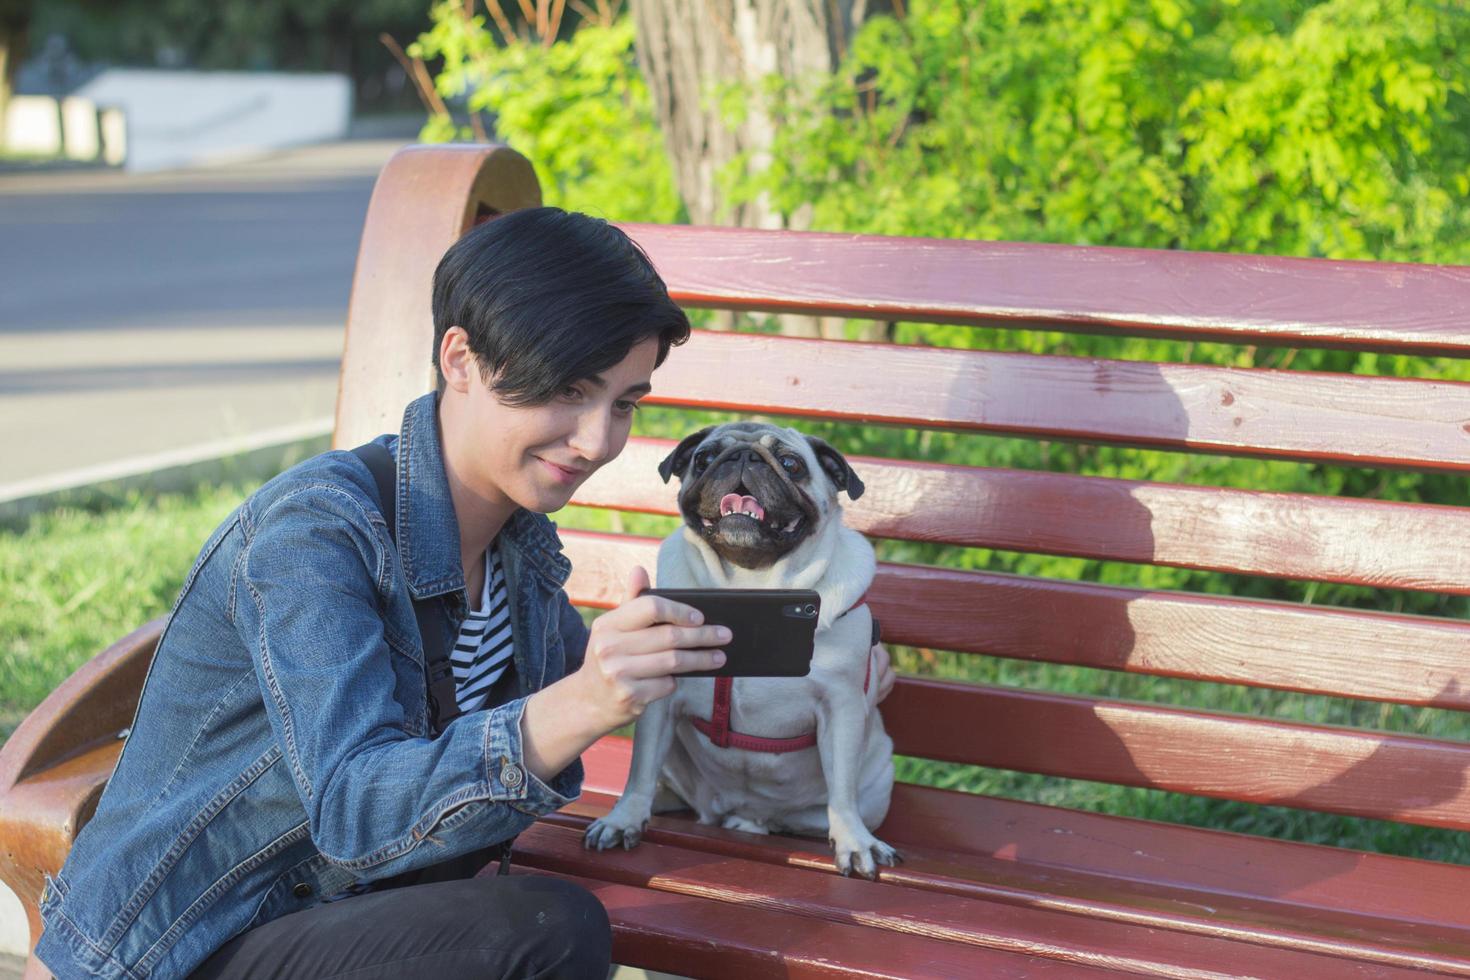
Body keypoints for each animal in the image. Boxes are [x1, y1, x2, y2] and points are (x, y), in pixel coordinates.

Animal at [582, 423, 899, 881]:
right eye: (702, 458)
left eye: (791, 464)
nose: (743, 457)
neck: (753, 581)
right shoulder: (661, 699)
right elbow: (639, 770)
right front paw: (624, 818)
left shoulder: (841, 706)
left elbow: (842, 793)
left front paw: (855, 842)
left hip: (874, 786)